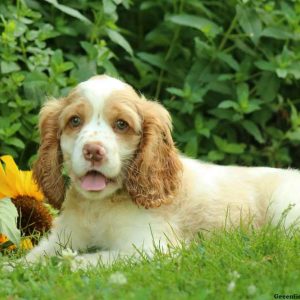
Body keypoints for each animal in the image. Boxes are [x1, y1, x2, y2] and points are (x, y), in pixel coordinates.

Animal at [26, 75, 300, 270]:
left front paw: (65, 264)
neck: (99, 207)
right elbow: (34, 256)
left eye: (121, 124)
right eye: (74, 121)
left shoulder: (153, 248)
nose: (93, 151)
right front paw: (20, 267)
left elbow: (89, 259)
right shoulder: (63, 236)